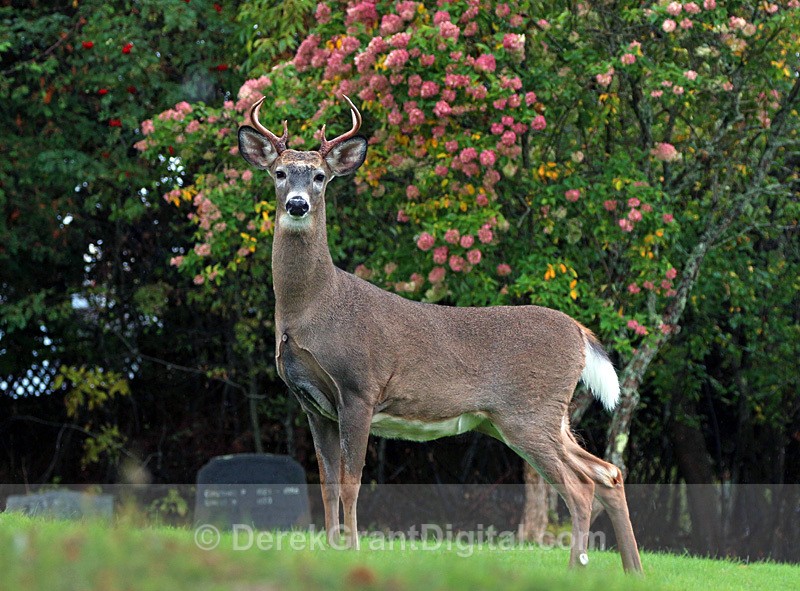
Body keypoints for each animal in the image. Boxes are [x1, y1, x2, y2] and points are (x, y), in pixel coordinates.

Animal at [237, 95, 643, 573]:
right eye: (280, 173)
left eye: (320, 177)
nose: (298, 205)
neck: (313, 308)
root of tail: (579, 332)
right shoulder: (313, 405)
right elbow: (326, 482)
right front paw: (330, 550)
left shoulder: (359, 388)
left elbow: (352, 481)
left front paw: (352, 550)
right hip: (530, 418)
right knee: (607, 472)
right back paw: (633, 570)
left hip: (530, 411)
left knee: (581, 485)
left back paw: (574, 569)